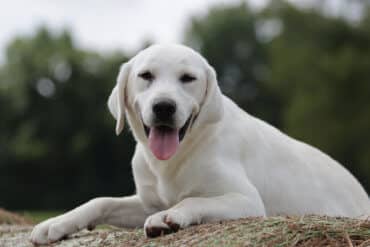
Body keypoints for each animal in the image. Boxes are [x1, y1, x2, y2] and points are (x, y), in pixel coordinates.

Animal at [30, 44, 368, 245]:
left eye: (188, 78)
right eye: (145, 75)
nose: (164, 107)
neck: (173, 159)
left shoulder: (246, 200)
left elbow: (193, 200)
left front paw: (169, 218)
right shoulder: (147, 201)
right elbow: (101, 201)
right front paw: (57, 223)